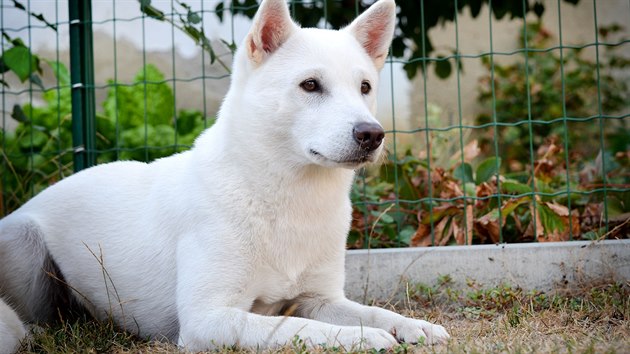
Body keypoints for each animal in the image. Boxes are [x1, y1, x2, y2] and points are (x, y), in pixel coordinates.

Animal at [2, 0, 452, 352]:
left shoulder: (319, 298)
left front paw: (411, 325)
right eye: (310, 85)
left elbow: (371, 311)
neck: (285, 197)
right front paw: (361, 338)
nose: (372, 134)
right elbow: (298, 325)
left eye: (365, 87)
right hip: (24, 241)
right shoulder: (208, 319)